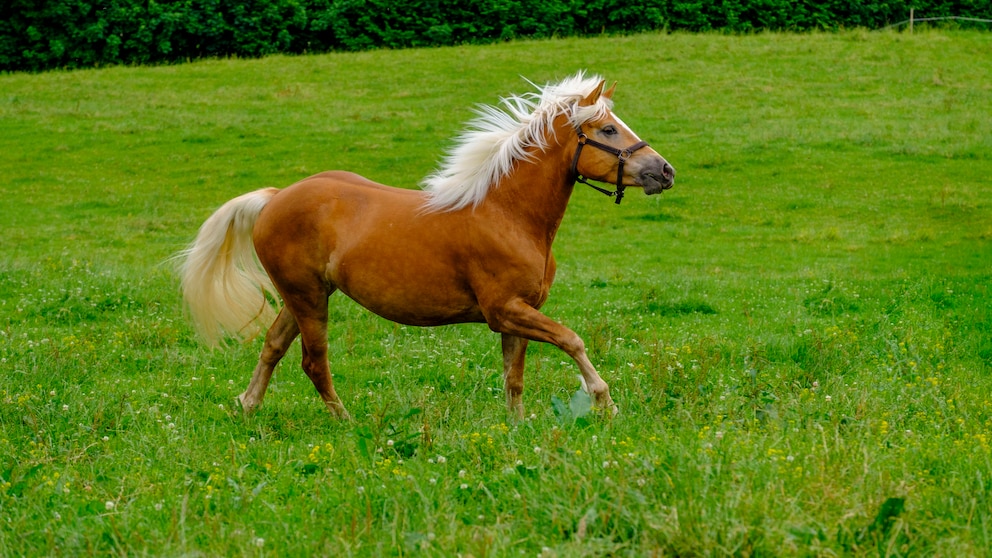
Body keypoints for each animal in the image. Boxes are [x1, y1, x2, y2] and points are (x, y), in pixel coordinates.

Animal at [178, 73, 676, 420]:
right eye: (608, 130)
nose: (665, 172)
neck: (508, 215)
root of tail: (276, 197)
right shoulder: (504, 310)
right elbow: (572, 340)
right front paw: (605, 401)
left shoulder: (519, 313)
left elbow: (514, 378)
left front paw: (517, 426)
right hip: (309, 298)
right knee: (313, 362)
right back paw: (345, 420)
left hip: (301, 295)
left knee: (273, 346)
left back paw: (248, 406)